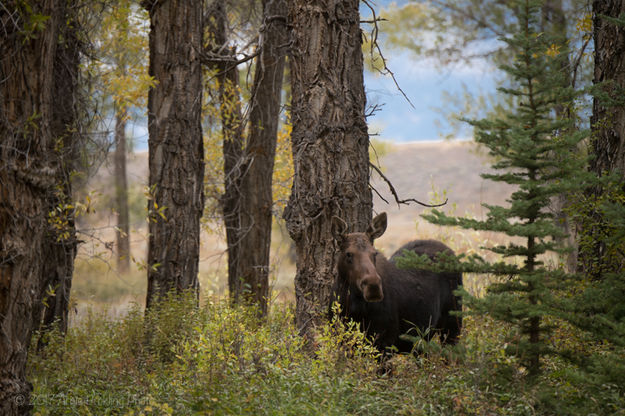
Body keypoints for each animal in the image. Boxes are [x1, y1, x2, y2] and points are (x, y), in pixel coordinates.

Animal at [330, 211, 460, 354]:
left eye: (374, 253)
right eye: (348, 254)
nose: (373, 286)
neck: (353, 305)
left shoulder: (385, 341)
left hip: (453, 323)